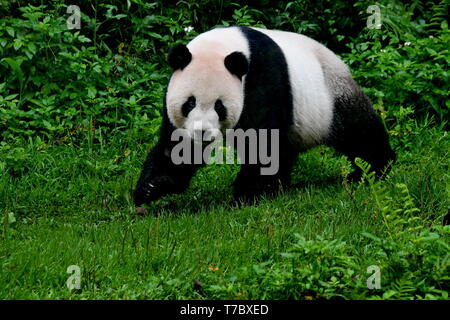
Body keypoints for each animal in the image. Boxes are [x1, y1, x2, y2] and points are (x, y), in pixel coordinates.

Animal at [133, 26, 394, 206]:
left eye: (219, 106)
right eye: (189, 102)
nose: (202, 133)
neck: (225, 45)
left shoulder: (262, 77)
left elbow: (262, 141)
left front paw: (246, 194)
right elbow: (176, 145)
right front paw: (151, 186)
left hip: (331, 96)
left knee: (358, 131)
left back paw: (372, 170)